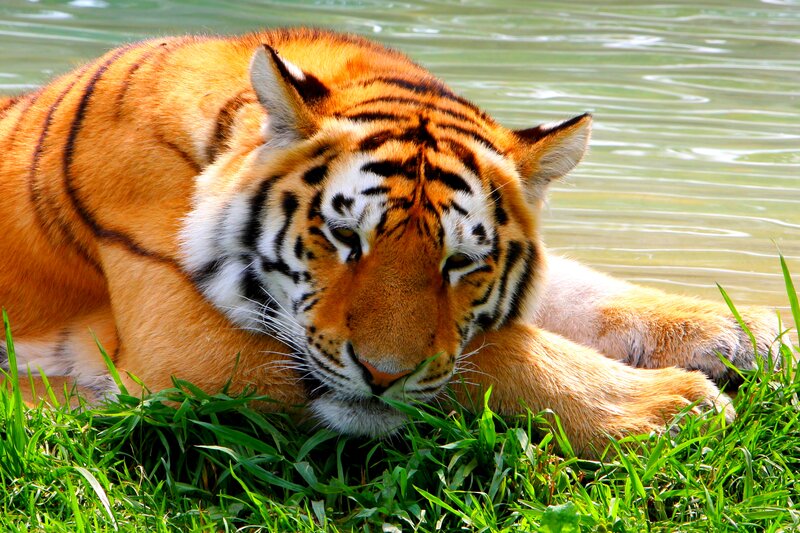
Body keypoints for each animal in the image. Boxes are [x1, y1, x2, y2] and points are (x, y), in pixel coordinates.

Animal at [0, 28, 781, 455]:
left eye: (461, 262)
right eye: (345, 237)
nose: (380, 376)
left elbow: (570, 294)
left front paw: (747, 333)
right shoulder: (184, 348)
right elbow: (495, 355)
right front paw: (678, 406)